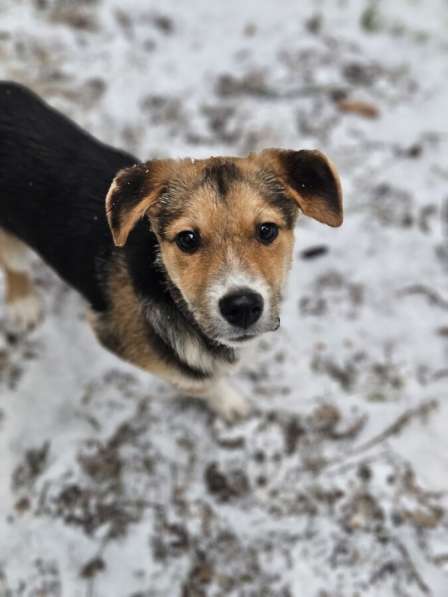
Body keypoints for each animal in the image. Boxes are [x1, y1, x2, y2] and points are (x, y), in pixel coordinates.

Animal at [0, 82, 344, 420]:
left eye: (267, 230)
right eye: (187, 239)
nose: (243, 306)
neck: (169, 291)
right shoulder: (117, 337)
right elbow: (196, 379)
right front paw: (229, 401)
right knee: (13, 263)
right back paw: (24, 305)